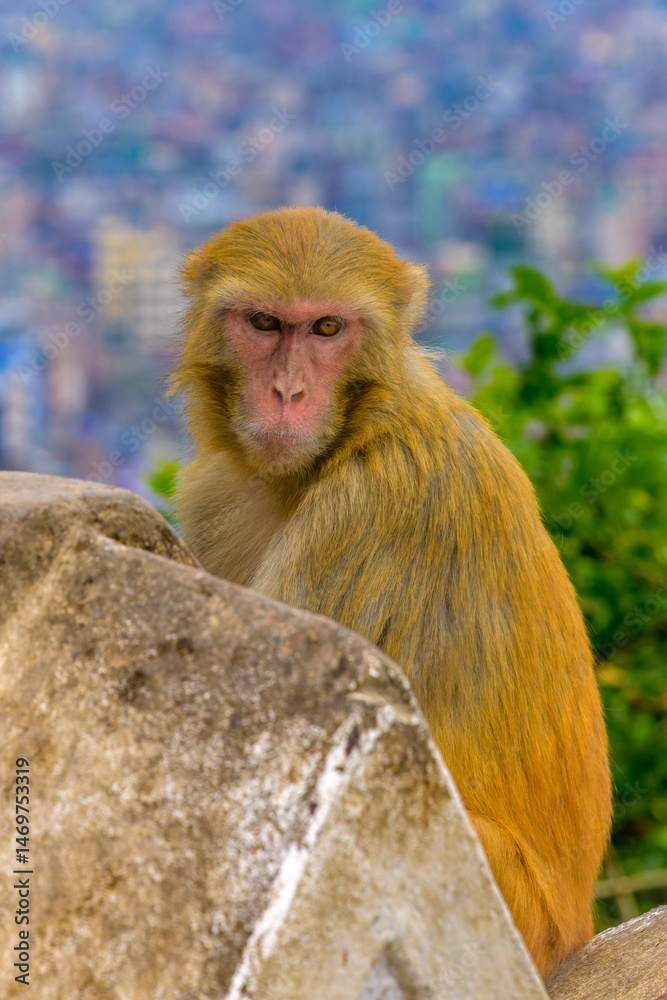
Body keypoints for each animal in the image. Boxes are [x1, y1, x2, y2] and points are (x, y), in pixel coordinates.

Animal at [169, 205, 611, 978]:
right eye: (264, 323)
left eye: (326, 328)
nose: (287, 393)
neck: (355, 429)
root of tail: (575, 932)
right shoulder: (215, 488)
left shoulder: (374, 504)